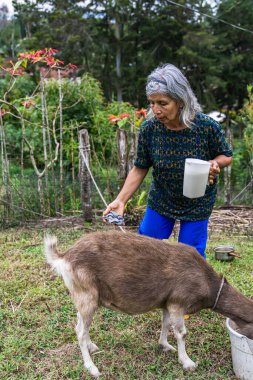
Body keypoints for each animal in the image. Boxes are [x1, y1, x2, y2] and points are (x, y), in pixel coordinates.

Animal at [44, 230, 253, 378]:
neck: (208, 283)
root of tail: (64, 256)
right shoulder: (179, 301)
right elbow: (182, 333)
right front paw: (187, 362)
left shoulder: (168, 302)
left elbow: (166, 323)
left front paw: (165, 345)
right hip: (86, 293)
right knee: (80, 330)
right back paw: (92, 367)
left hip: (85, 295)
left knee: (80, 323)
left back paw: (91, 346)